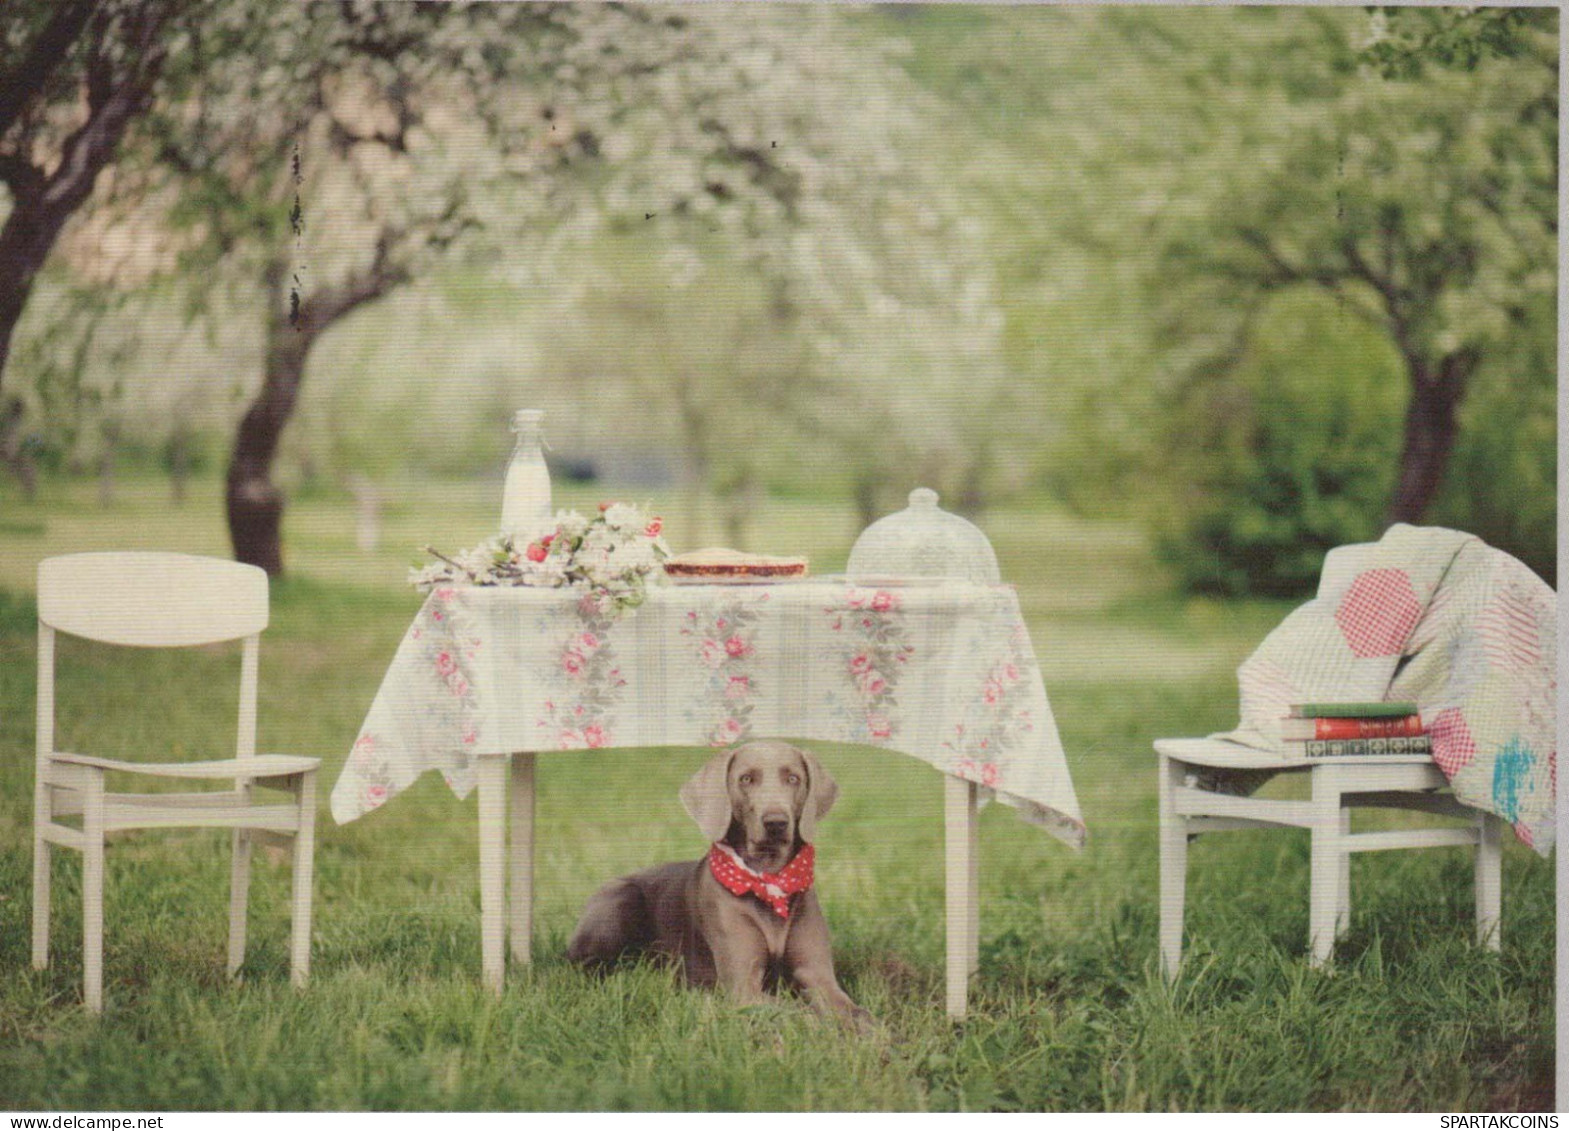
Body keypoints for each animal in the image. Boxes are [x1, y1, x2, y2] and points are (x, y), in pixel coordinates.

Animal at [571, 737, 872, 1029]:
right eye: (746, 779)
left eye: (793, 778)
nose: (776, 822)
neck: (769, 878)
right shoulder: (744, 987)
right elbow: (801, 1013)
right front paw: (828, 1031)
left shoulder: (818, 977)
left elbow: (859, 1014)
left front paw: (869, 1036)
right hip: (619, 901)